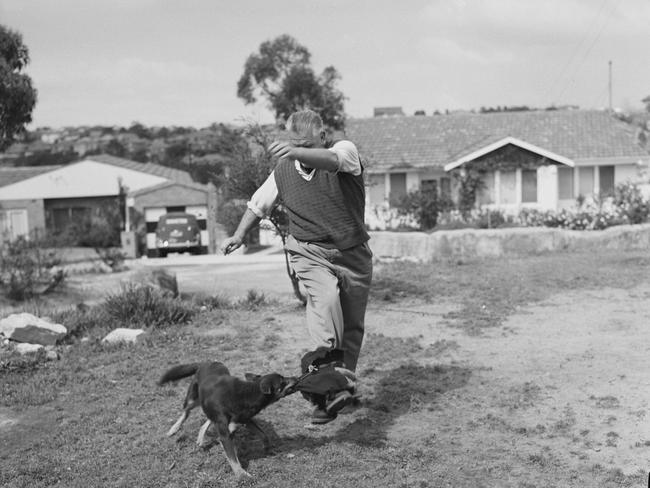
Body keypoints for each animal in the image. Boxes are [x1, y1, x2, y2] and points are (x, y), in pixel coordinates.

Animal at [158, 362, 294, 476]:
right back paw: (174, 428)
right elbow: (233, 458)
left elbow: (263, 434)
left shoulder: (245, 420)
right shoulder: (226, 434)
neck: (247, 394)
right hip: (194, 399)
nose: (296, 377)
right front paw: (241, 475)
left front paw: (268, 449)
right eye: (283, 381)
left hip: (205, 404)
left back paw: (200, 437)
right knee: (186, 412)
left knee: (207, 420)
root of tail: (205, 362)